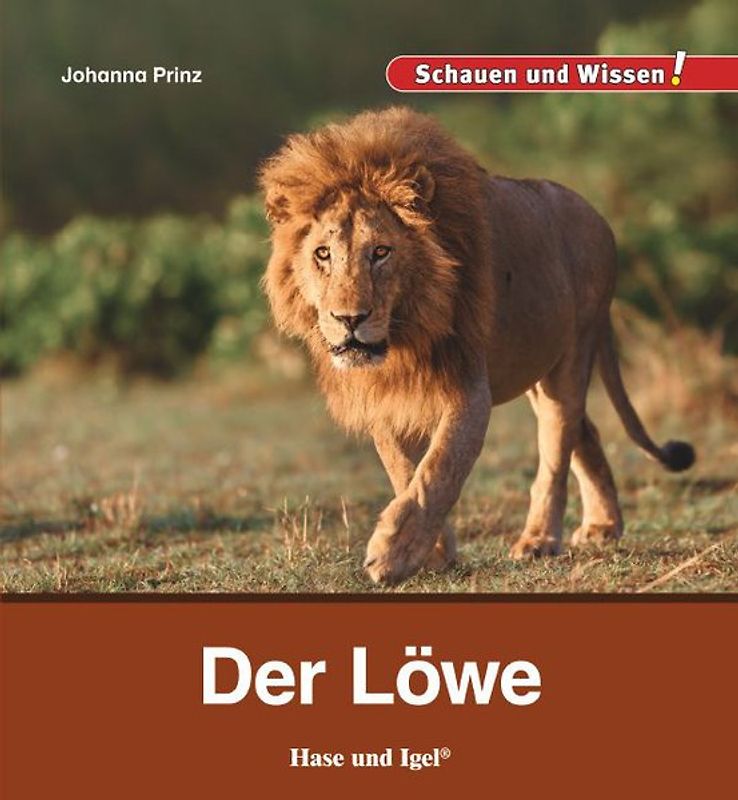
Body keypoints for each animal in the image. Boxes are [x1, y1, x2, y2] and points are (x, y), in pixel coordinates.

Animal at [259, 106, 695, 585]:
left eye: (380, 252)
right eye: (322, 254)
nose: (348, 319)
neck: (405, 336)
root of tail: (598, 217)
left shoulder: (469, 387)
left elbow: (438, 469)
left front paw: (393, 553)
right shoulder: (383, 395)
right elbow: (404, 470)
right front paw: (432, 553)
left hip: (572, 353)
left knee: (556, 450)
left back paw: (540, 540)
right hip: (535, 369)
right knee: (585, 431)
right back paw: (603, 525)